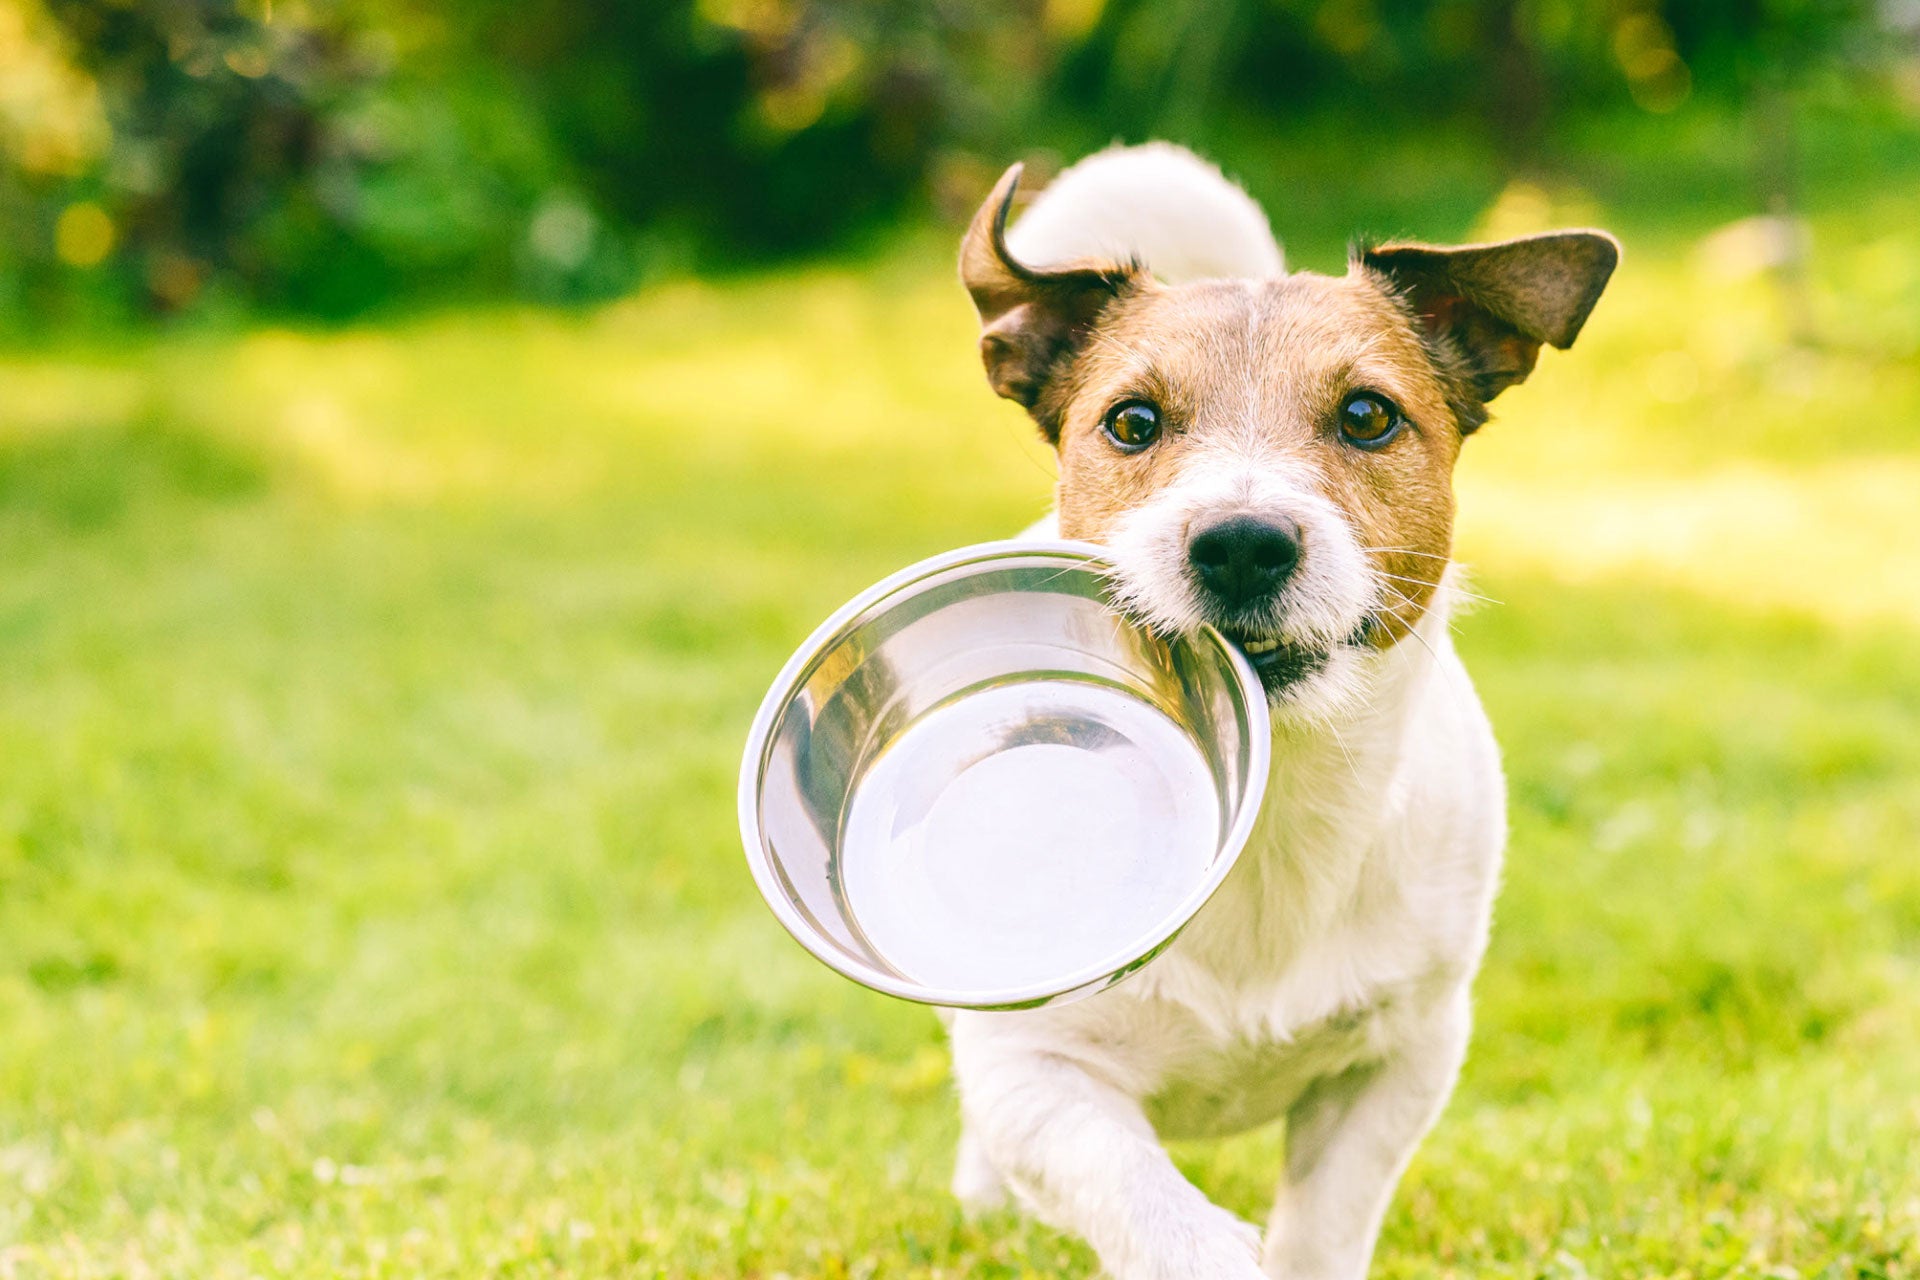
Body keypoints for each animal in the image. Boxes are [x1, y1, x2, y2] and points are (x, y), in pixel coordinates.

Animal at [936, 144, 1612, 1280]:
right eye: (1131, 422)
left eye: (1368, 415)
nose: (1243, 543)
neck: (1272, 801)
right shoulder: (1037, 1072)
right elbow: (1143, 1199)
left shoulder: (1401, 1060)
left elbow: (1323, 1224)